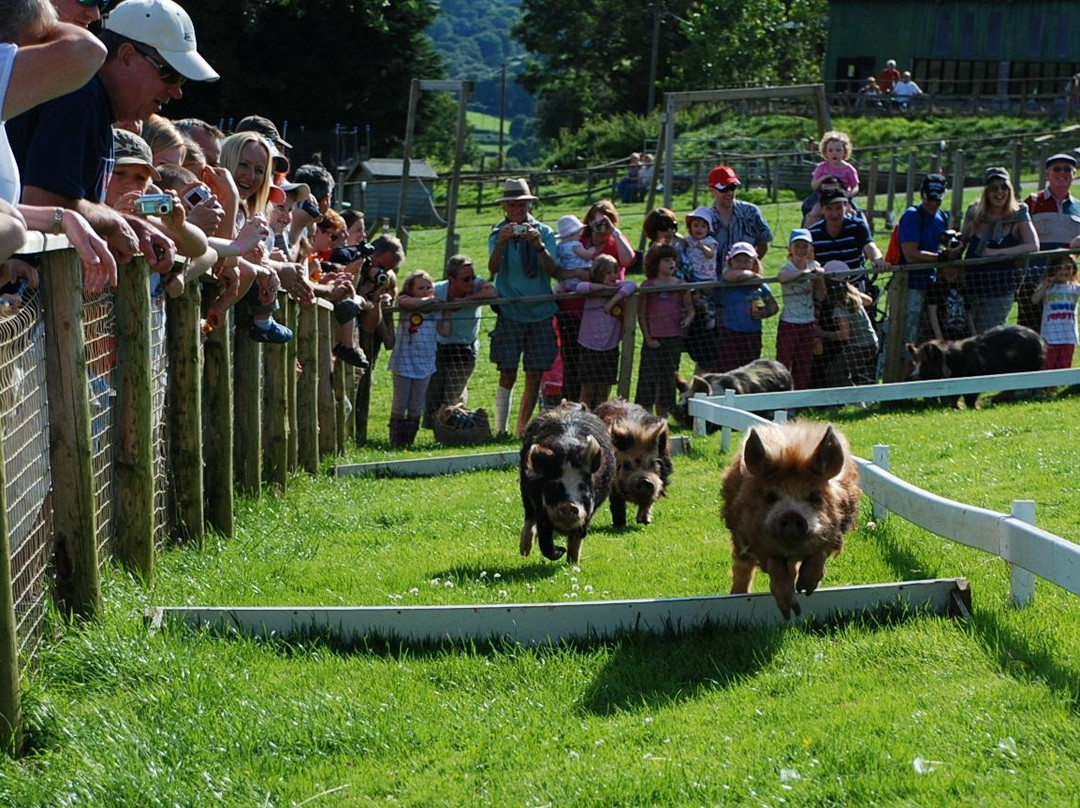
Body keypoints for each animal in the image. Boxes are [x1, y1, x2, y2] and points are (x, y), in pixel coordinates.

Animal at [520, 401, 617, 561]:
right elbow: (545, 541)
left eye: (582, 487)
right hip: (525, 489)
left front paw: (572, 562)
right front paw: (561, 551)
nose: (568, 505)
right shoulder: (539, 506)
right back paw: (524, 552)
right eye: (553, 486)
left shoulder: (589, 511)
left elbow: (578, 537)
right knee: (529, 517)